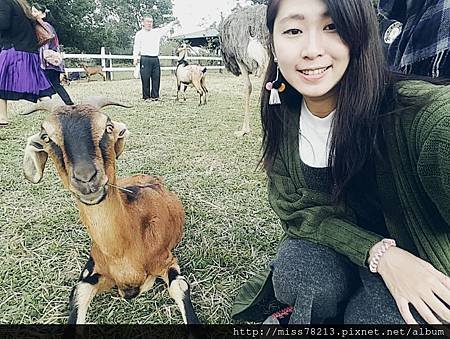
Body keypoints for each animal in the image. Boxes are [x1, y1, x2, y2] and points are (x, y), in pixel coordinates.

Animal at [20, 97, 200, 324]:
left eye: (108, 127)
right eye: (46, 137)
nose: (86, 178)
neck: (122, 253)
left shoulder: (167, 261)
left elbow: (180, 287)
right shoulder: (91, 272)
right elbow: (78, 294)